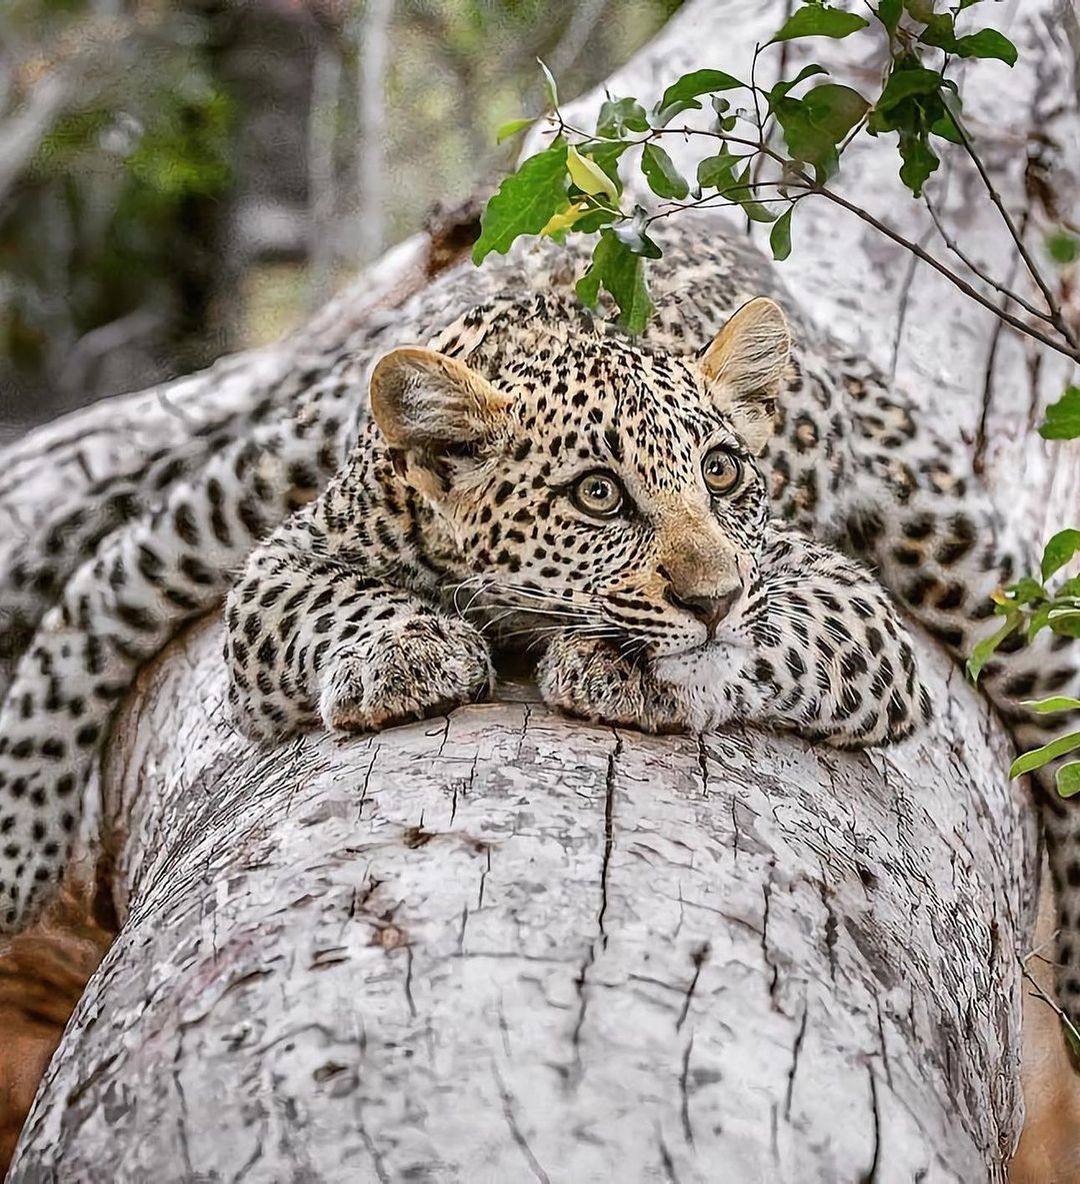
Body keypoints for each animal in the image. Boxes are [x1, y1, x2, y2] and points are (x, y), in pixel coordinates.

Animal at [1, 218, 1079, 1024]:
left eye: (722, 472)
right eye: (599, 494)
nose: (713, 594)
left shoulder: (841, 601)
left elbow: (756, 640)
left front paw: (620, 665)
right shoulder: (283, 566)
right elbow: (330, 598)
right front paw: (413, 650)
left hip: (958, 551)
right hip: (257, 481)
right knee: (105, 578)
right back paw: (18, 857)